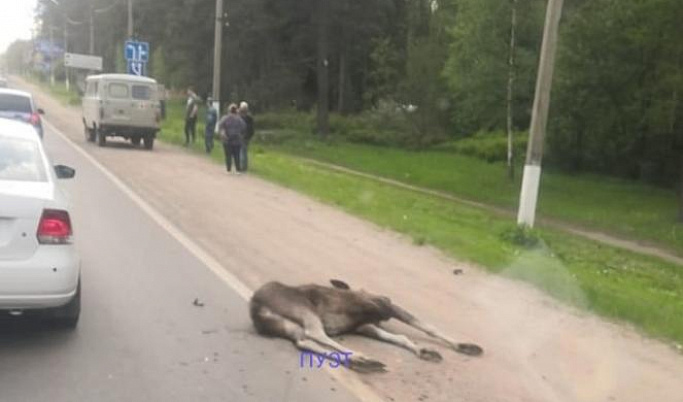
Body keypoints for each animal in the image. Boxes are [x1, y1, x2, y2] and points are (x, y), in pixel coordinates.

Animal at [248, 278, 484, 372]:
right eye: (384, 300)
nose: (384, 298)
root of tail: (256, 308)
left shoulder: (364, 325)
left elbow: (400, 337)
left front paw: (425, 351)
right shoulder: (383, 308)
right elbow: (425, 325)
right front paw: (465, 346)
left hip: (286, 326)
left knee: (304, 341)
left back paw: (363, 362)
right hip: (305, 310)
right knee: (315, 334)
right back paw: (362, 357)